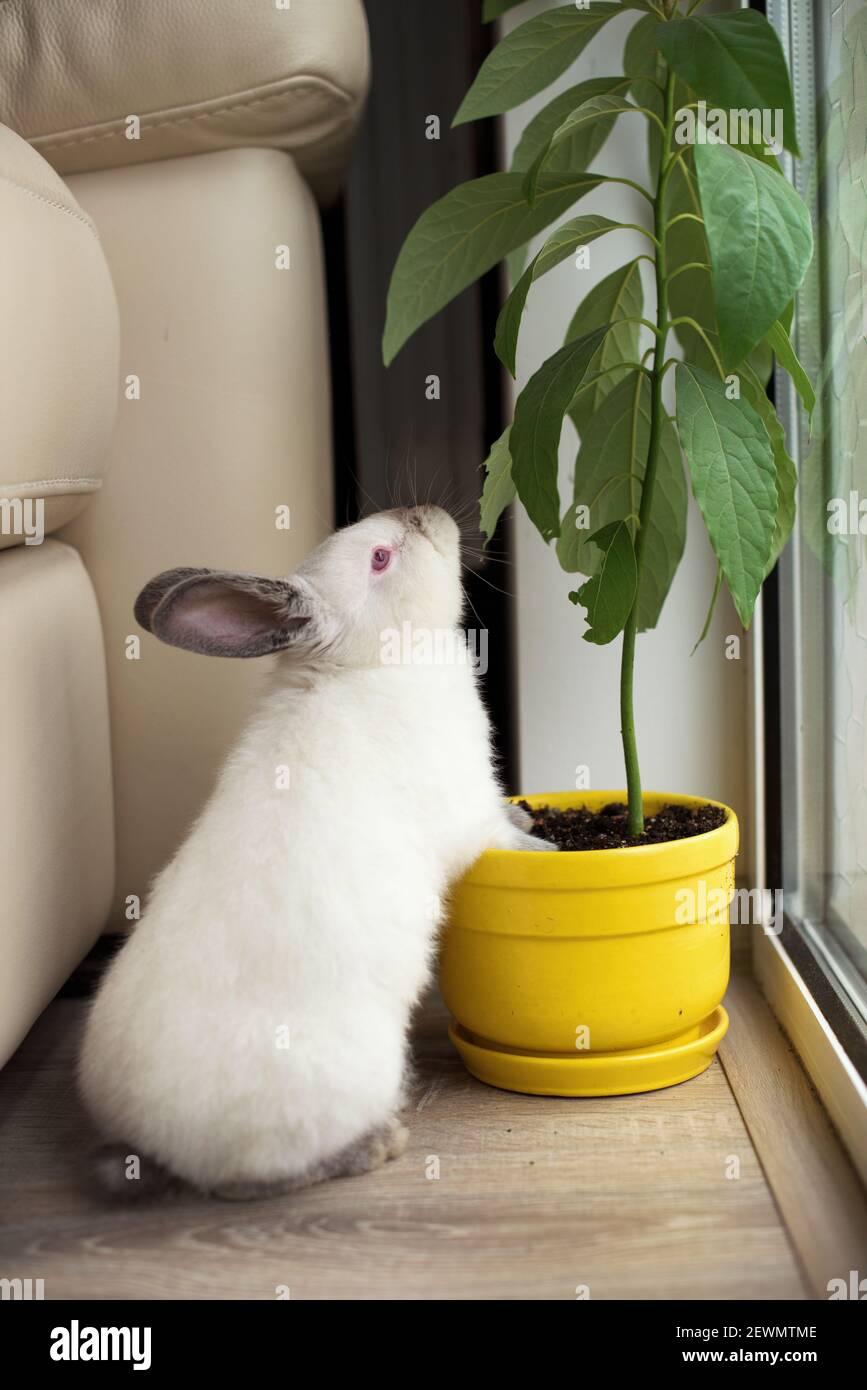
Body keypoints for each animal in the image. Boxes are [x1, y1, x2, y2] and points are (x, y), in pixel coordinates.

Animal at [79, 505, 553, 1201]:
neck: (364, 662)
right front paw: (544, 840)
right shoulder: (469, 814)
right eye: (381, 557)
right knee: (252, 1181)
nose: (430, 515)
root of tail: (151, 1142)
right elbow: (502, 835)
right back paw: (378, 1146)